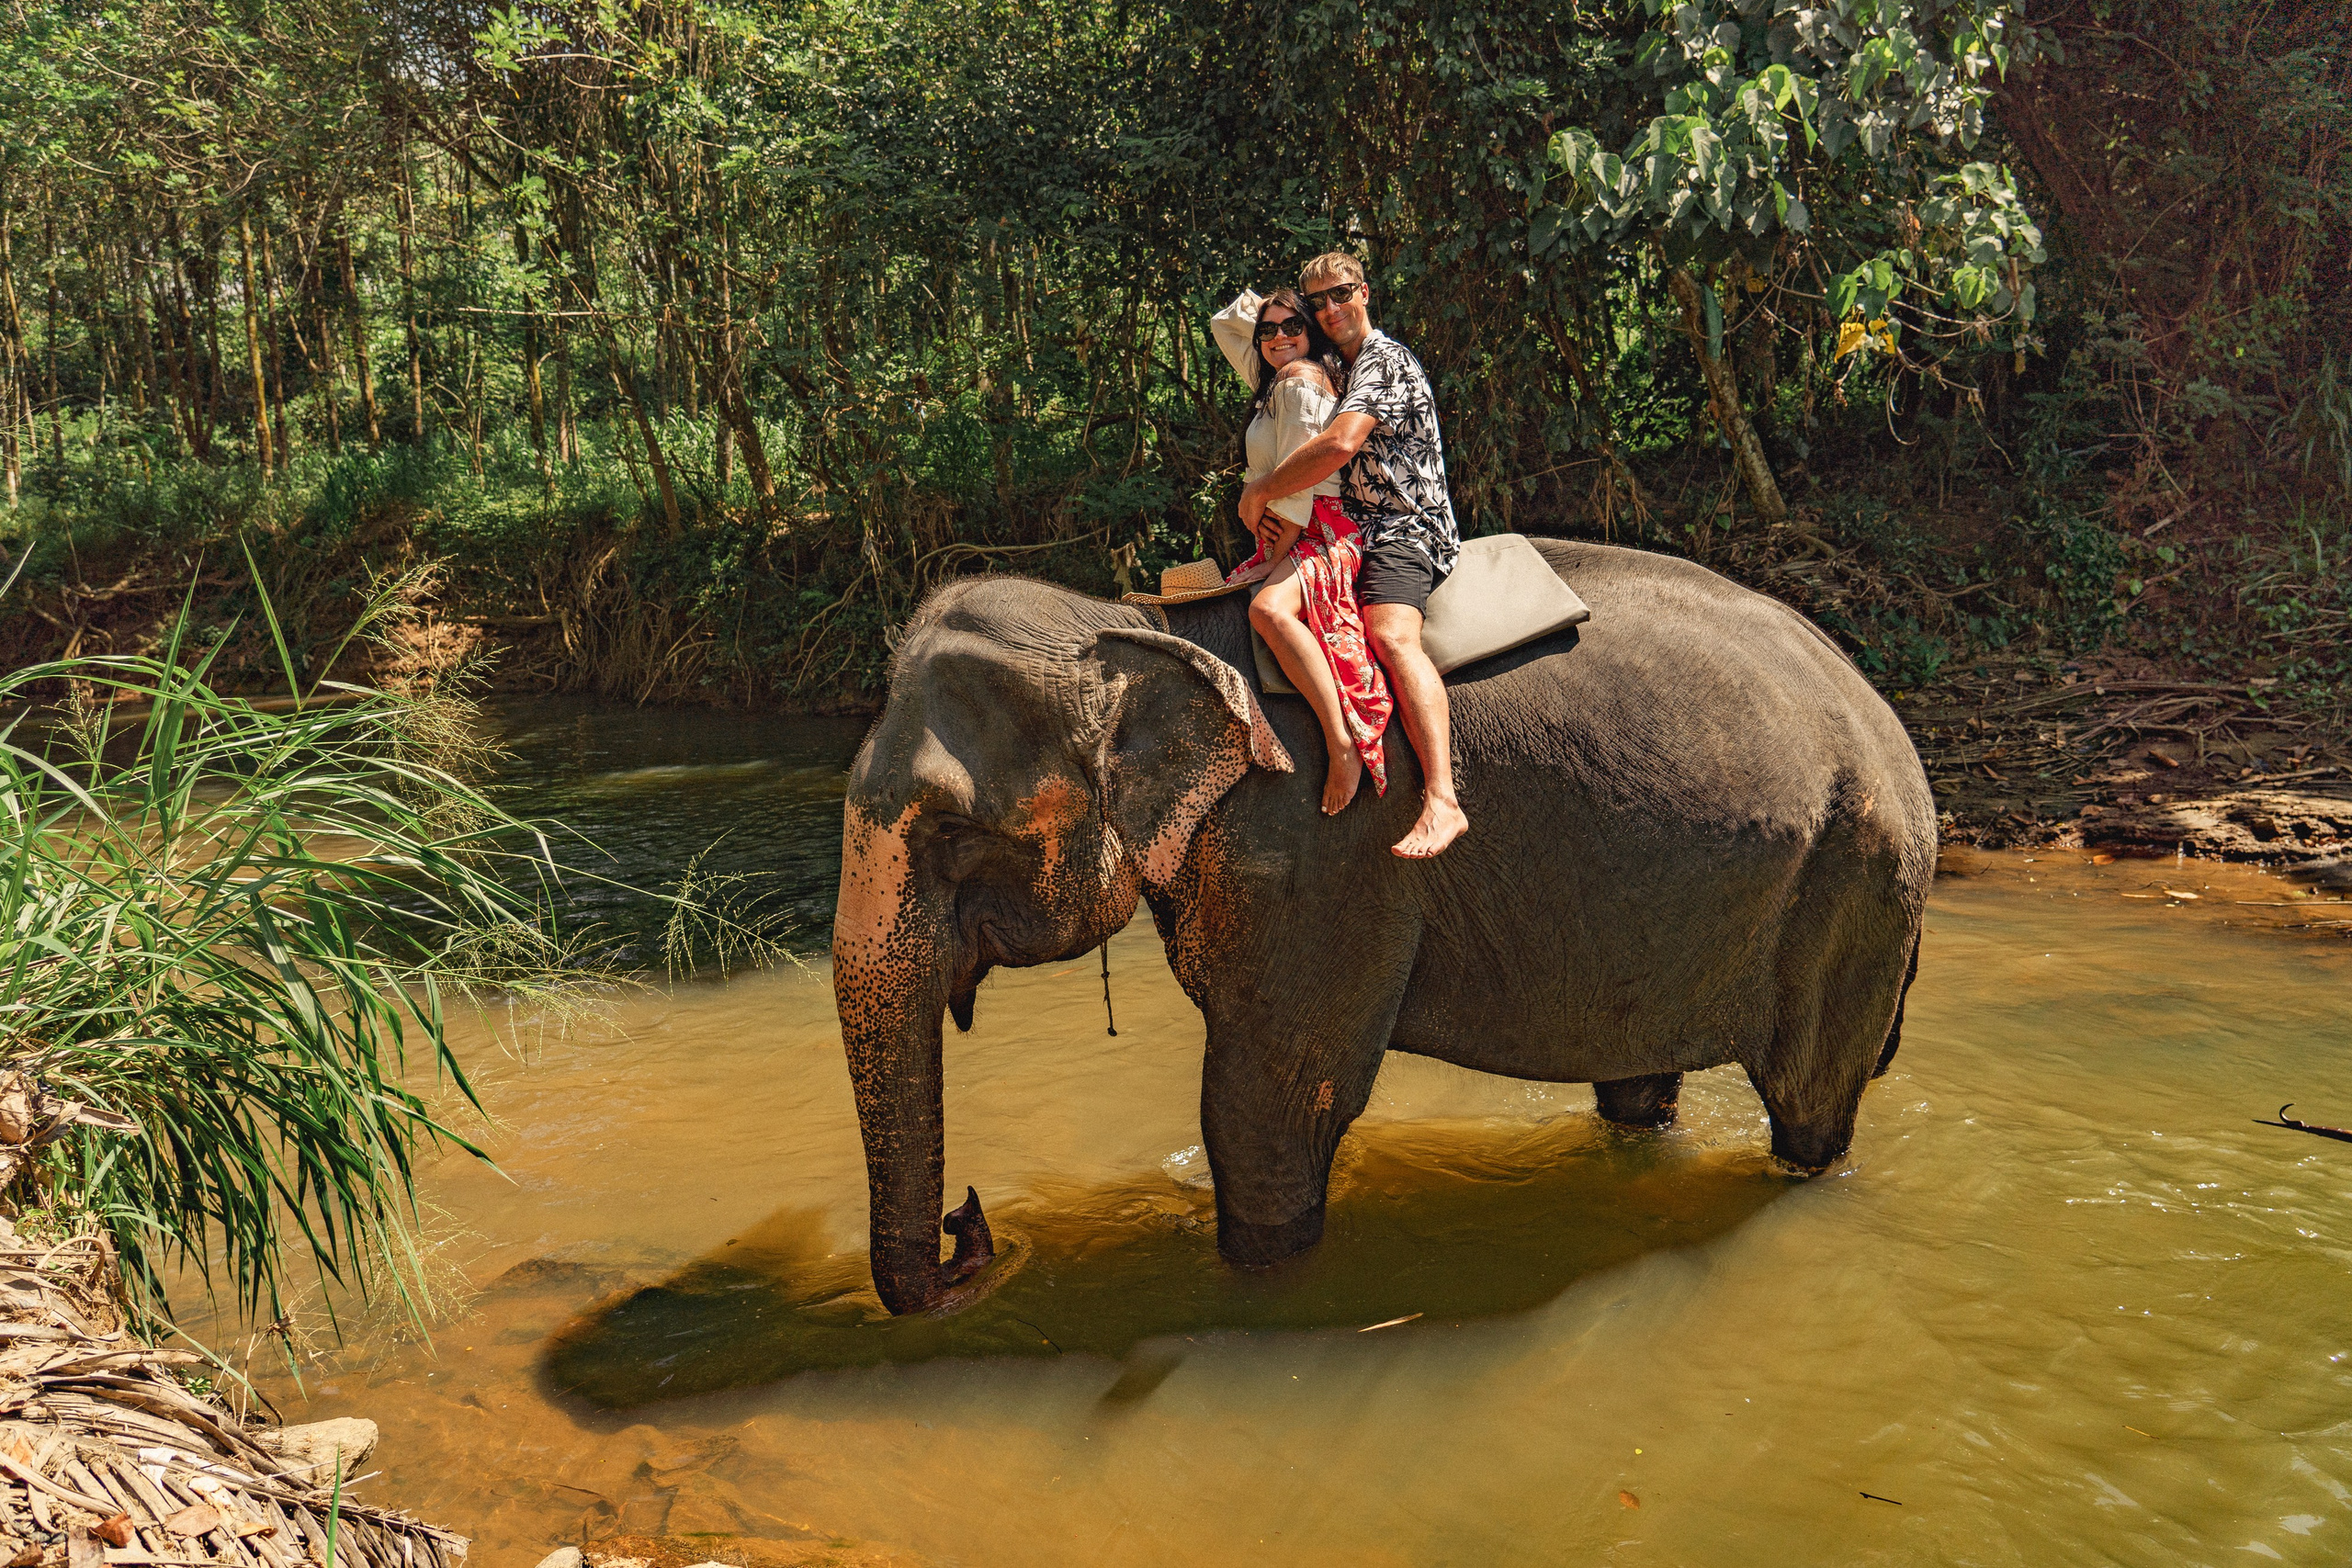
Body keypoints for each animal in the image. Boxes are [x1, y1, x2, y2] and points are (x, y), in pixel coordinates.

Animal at [833, 538, 1937, 1315]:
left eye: (952, 832)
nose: (967, 1224)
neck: (1133, 622)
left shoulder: (1325, 847)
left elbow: (1270, 1104)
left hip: (1856, 887)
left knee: (1809, 1107)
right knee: (1638, 1088)